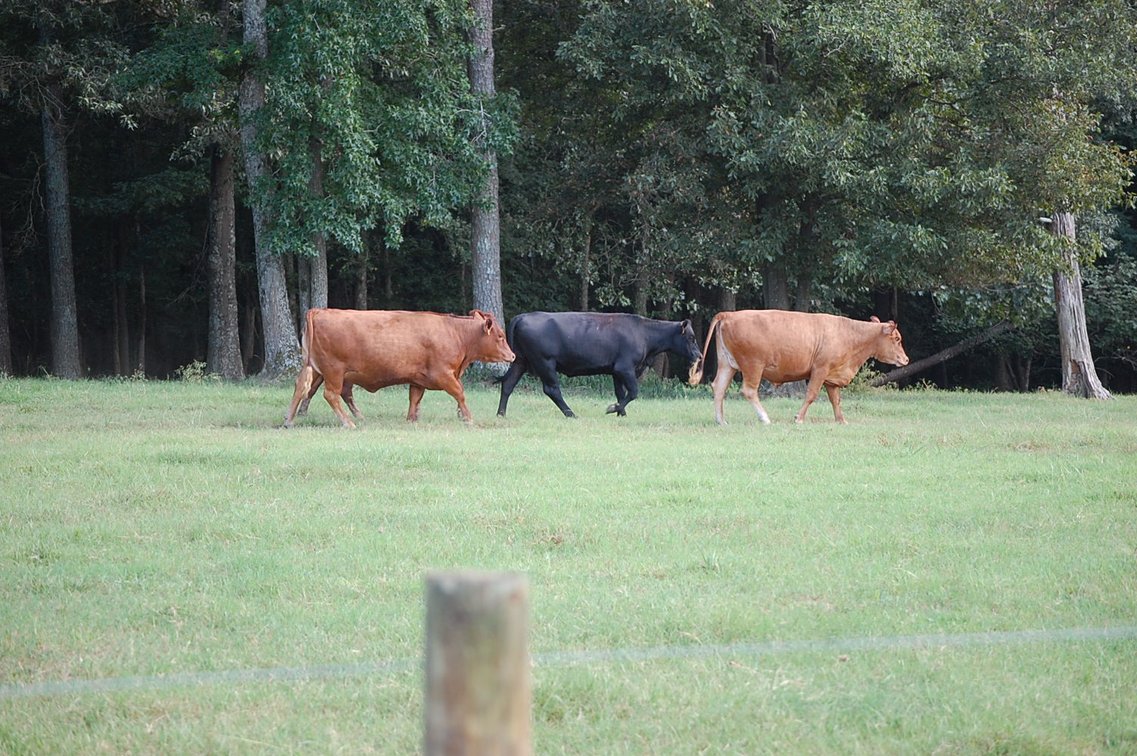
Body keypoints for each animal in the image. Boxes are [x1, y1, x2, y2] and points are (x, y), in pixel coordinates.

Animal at [284, 308, 515, 428]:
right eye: (500, 336)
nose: (512, 356)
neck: (455, 333)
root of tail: (320, 310)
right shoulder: (443, 374)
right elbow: (460, 393)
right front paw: (468, 418)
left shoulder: (418, 379)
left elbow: (414, 399)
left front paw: (411, 419)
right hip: (333, 371)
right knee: (330, 394)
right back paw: (349, 422)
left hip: (314, 369)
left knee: (301, 388)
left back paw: (289, 420)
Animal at [496, 311, 702, 418]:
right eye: (691, 338)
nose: (699, 355)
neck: (644, 334)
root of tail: (523, 316)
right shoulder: (625, 368)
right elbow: (633, 392)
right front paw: (613, 409)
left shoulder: (616, 371)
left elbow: (621, 393)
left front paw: (621, 413)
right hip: (545, 362)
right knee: (552, 390)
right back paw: (571, 414)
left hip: (521, 360)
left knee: (508, 384)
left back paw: (501, 414)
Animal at [687, 309, 910, 425]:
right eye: (897, 339)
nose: (906, 359)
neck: (849, 333)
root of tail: (729, 314)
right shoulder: (820, 370)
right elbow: (811, 394)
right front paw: (799, 417)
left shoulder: (831, 376)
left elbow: (835, 400)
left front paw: (841, 420)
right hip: (753, 366)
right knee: (749, 391)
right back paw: (764, 417)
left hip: (728, 364)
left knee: (719, 388)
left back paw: (721, 420)